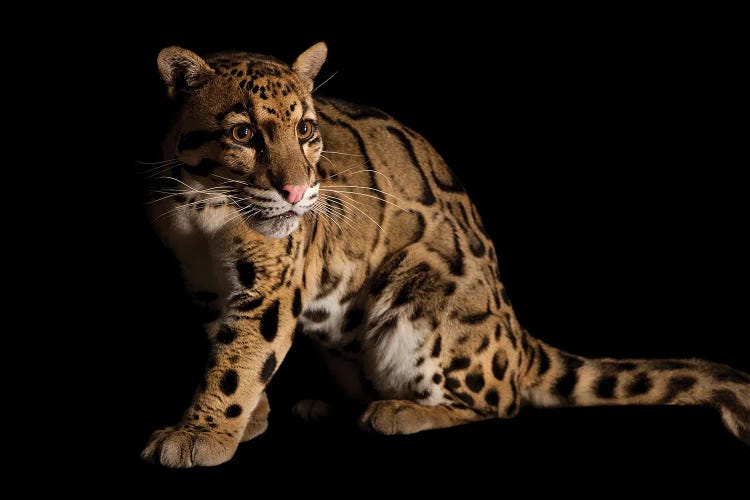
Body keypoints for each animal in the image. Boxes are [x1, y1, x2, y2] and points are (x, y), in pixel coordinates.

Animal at [142, 44, 750, 468]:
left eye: (306, 129)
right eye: (244, 133)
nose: (296, 192)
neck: (204, 210)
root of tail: (517, 337)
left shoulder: (270, 284)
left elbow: (241, 358)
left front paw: (203, 433)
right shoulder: (204, 282)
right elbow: (227, 348)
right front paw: (245, 420)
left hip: (424, 300)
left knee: (501, 402)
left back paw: (399, 410)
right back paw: (333, 404)